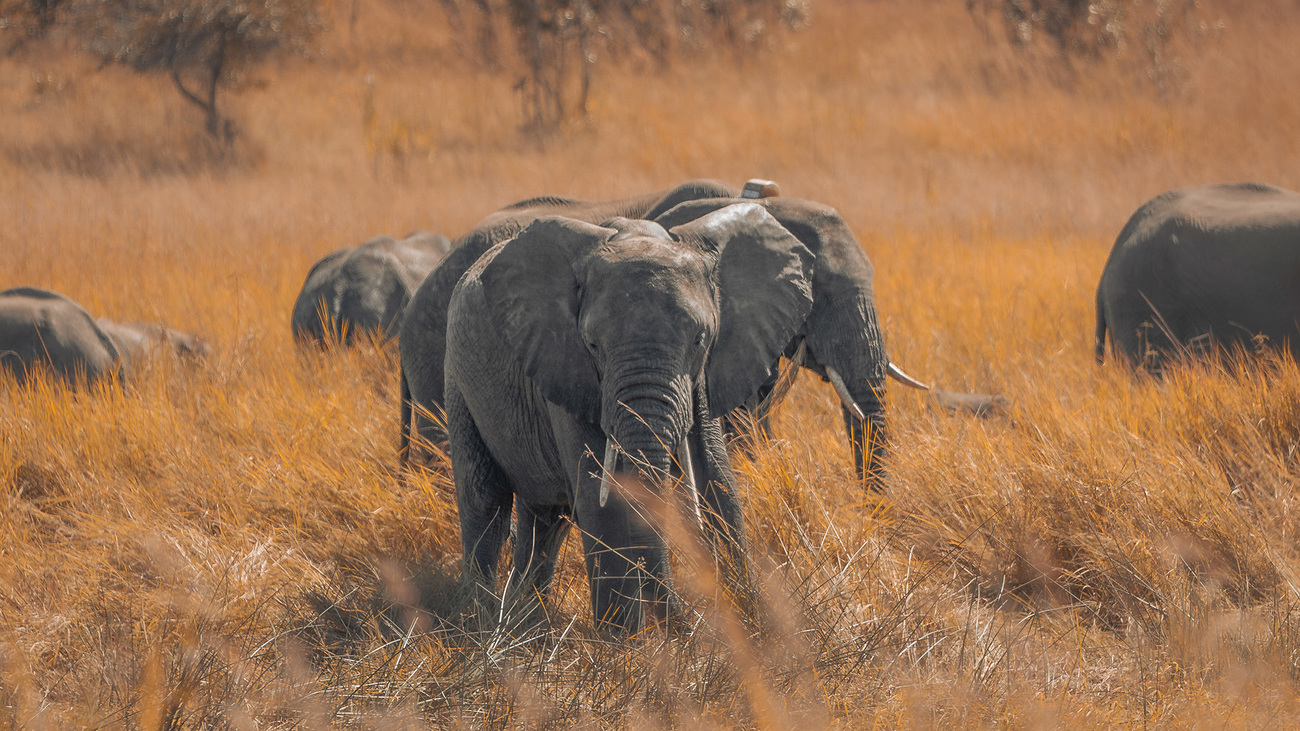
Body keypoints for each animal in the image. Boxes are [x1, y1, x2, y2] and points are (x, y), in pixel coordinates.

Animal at [447, 202, 811, 632]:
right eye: (592, 344)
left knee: (546, 517)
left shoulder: (705, 376)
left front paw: (748, 620)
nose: (689, 621)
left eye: (700, 339)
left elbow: (717, 480)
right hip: (458, 372)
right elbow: (597, 497)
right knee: (485, 498)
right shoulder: (568, 369)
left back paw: (526, 618)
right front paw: (627, 643)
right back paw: (482, 619)